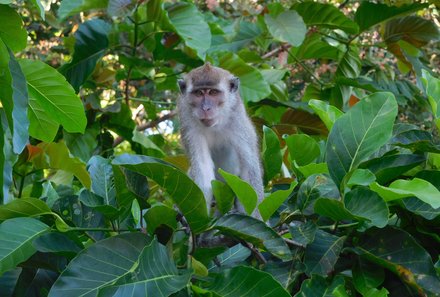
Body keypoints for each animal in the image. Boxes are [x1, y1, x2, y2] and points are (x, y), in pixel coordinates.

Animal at [176, 63, 264, 220]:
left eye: (213, 92)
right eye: (199, 93)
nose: (206, 108)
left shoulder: (238, 121)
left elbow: (249, 171)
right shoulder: (189, 124)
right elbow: (203, 170)